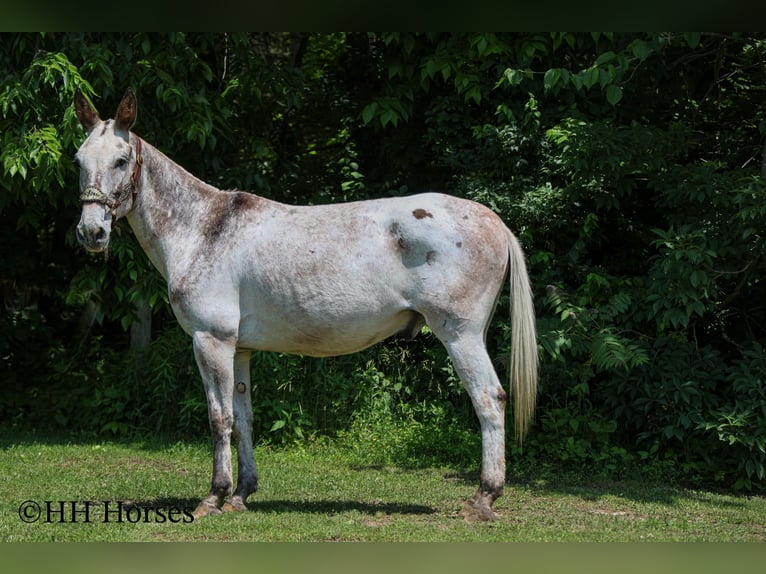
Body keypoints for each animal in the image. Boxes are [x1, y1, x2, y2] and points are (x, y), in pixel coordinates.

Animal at [72, 88, 538, 522]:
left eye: (121, 160)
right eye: (78, 161)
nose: (92, 233)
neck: (203, 229)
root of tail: (495, 221)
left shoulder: (211, 341)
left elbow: (219, 419)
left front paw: (214, 496)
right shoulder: (240, 349)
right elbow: (244, 418)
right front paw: (242, 494)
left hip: (460, 335)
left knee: (489, 399)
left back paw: (483, 497)